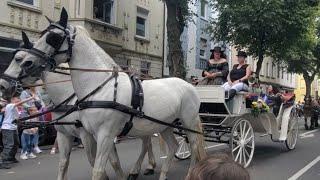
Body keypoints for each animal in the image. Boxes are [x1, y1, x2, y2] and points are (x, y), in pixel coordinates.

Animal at [13, 8, 205, 180]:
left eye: (53, 37)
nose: (28, 63)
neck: (100, 86)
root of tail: (189, 85)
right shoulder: (90, 134)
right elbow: (89, 164)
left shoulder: (104, 135)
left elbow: (97, 170)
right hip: (164, 125)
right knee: (172, 146)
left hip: (187, 121)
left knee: (194, 145)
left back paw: (189, 174)